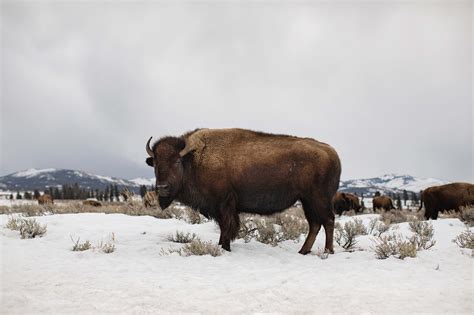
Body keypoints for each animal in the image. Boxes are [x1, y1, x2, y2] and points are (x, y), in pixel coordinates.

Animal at [144, 128, 340, 254]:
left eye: (176, 161)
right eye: (155, 163)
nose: (162, 188)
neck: (194, 159)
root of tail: (332, 152)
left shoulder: (225, 204)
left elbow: (227, 227)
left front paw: (224, 247)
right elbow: (224, 227)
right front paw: (222, 245)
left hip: (318, 199)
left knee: (328, 221)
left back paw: (327, 251)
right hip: (307, 201)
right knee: (315, 224)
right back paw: (303, 251)